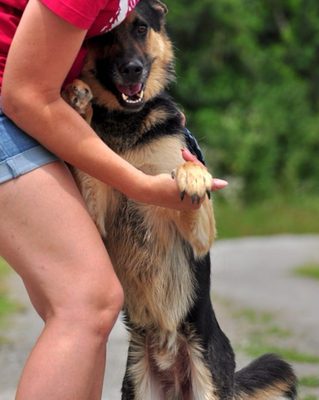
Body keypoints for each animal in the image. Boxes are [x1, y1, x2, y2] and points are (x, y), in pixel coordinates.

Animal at [62, 0, 298, 400]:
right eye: (105, 36)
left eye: (141, 28)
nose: (132, 68)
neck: (128, 125)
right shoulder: (97, 212)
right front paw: (80, 101)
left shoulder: (199, 235)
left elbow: (191, 180)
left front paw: (193, 175)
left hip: (207, 380)